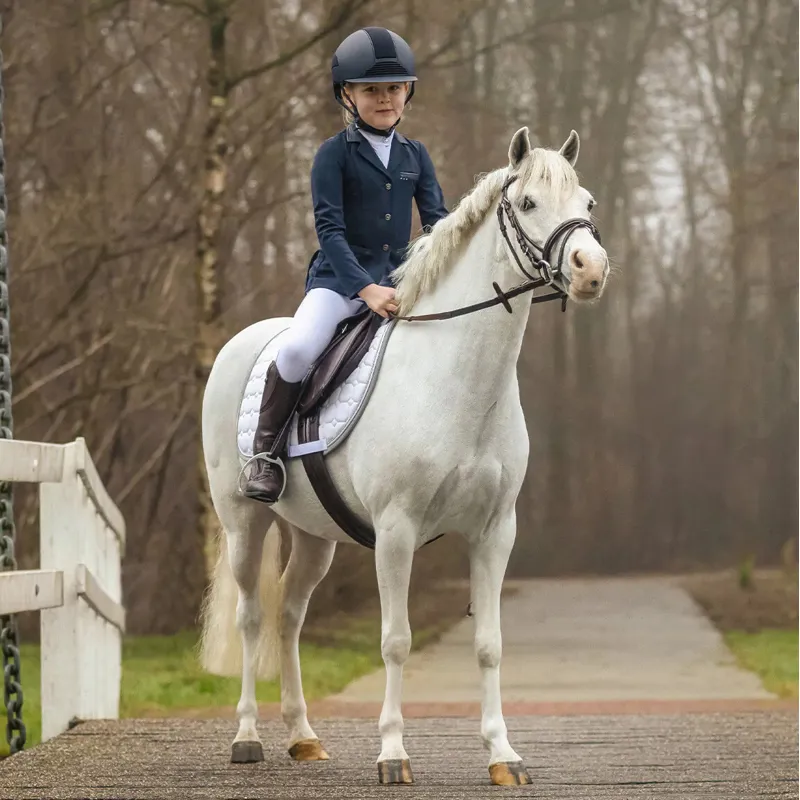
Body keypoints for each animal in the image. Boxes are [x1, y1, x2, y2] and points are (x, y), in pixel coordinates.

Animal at [199, 126, 609, 786]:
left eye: (588, 203)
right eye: (527, 204)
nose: (590, 269)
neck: (461, 376)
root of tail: (243, 341)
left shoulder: (495, 531)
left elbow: (489, 642)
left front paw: (502, 755)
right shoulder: (396, 531)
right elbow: (396, 640)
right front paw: (393, 753)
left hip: (315, 536)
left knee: (289, 614)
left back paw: (304, 737)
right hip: (244, 521)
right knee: (252, 618)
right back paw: (247, 737)